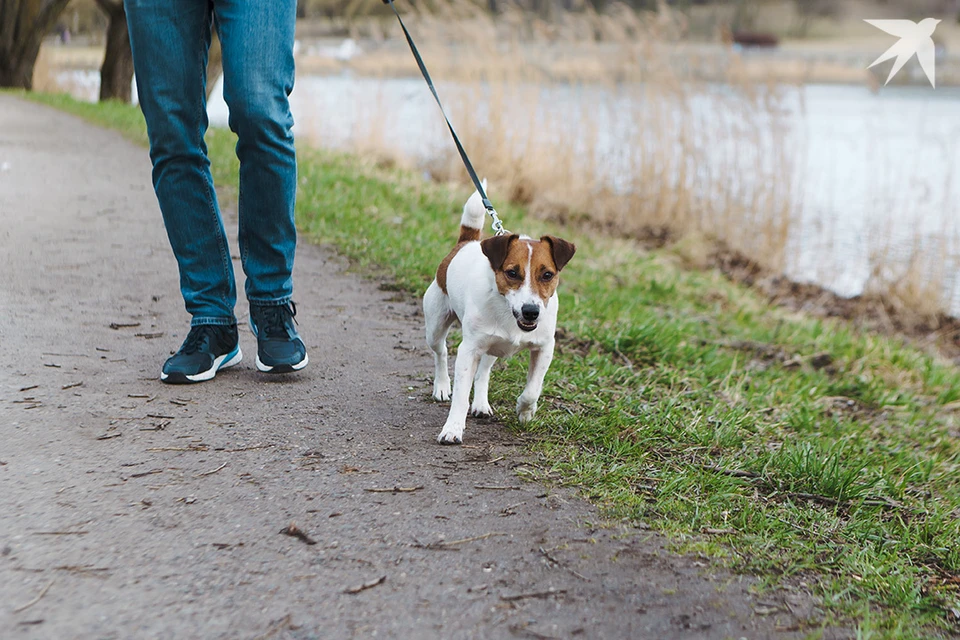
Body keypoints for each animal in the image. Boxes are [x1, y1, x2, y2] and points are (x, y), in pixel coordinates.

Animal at [424, 185, 572, 444]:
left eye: (547, 275)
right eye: (512, 272)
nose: (531, 312)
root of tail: (467, 242)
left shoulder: (544, 348)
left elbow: (533, 389)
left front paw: (525, 410)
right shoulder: (469, 349)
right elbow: (460, 396)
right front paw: (452, 429)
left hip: (493, 346)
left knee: (484, 371)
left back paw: (481, 403)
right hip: (435, 325)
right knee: (440, 351)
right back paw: (442, 386)